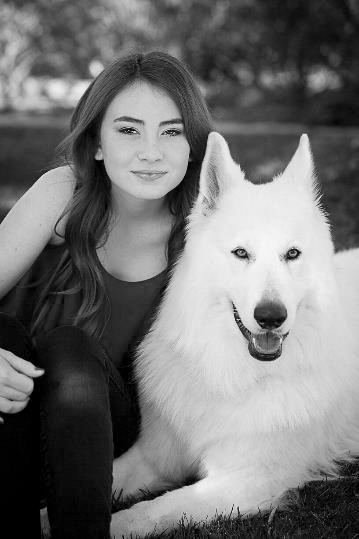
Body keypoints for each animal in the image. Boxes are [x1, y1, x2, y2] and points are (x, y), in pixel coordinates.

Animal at [109, 132, 359, 539]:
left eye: (292, 254)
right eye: (241, 253)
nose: (271, 317)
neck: (227, 371)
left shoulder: (246, 481)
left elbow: (145, 512)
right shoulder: (154, 457)